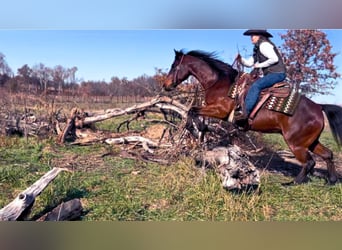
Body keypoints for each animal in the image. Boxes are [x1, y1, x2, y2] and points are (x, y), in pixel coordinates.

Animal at [164, 49, 342, 186]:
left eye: (174, 66)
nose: (166, 85)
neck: (219, 83)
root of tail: (318, 107)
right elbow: (192, 111)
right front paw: (201, 129)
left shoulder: (220, 111)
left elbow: (192, 111)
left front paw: (198, 128)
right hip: (310, 142)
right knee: (328, 154)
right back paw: (332, 181)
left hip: (296, 144)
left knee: (309, 162)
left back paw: (293, 183)